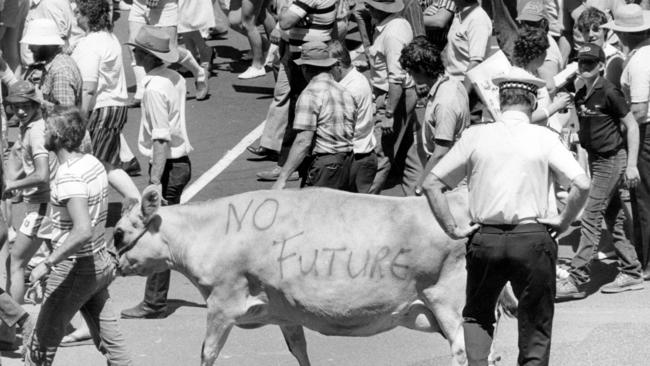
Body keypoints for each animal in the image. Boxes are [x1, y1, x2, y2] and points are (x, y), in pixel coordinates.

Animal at [114, 187, 512, 364]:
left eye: (117, 233)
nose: (113, 262)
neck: (208, 231)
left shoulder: (222, 303)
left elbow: (207, 352)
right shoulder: (285, 311)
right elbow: (298, 350)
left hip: (452, 303)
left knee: (470, 352)